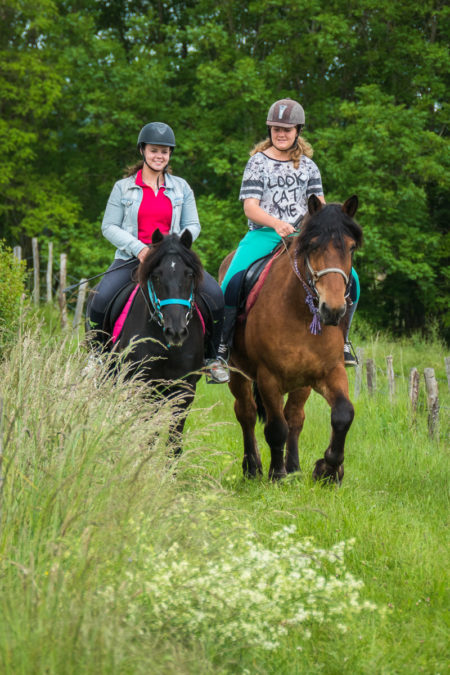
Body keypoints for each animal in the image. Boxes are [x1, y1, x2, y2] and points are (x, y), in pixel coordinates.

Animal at [86, 230, 206, 456]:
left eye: (189, 275)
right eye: (156, 276)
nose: (176, 331)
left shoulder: (184, 390)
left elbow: (173, 443)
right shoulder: (142, 386)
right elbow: (146, 435)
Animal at [220, 193, 364, 484]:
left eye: (352, 248)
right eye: (313, 245)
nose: (333, 310)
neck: (299, 310)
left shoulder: (329, 371)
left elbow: (343, 414)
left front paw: (328, 469)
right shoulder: (268, 377)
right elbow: (276, 427)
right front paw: (276, 474)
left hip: (301, 383)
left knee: (295, 417)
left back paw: (294, 468)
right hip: (238, 373)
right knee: (247, 413)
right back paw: (253, 467)